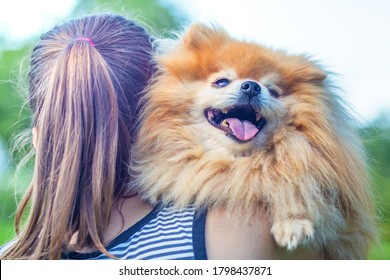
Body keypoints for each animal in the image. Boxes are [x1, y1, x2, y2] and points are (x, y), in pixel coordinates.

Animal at [132, 23, 378, 260]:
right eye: (221, 82)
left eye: (273, 91)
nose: (251, 86)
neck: (237, 160)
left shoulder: (344, 226)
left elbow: (299, 186)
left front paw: (292, 221)